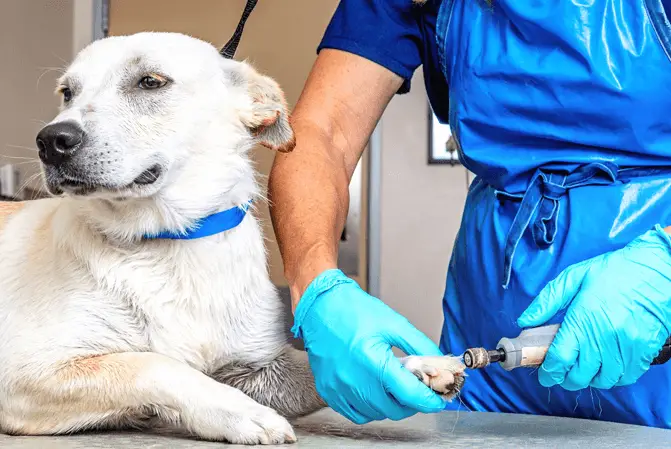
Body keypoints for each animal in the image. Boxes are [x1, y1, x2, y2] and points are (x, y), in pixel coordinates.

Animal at [0, 32, 464, 444]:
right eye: (67, 93)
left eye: (150, 81)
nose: (51, 140)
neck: (170, 242)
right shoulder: (26, 373)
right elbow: (157, 365)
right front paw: (239, 412)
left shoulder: (259, 368)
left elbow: (320, 365)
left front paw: (410, 365)